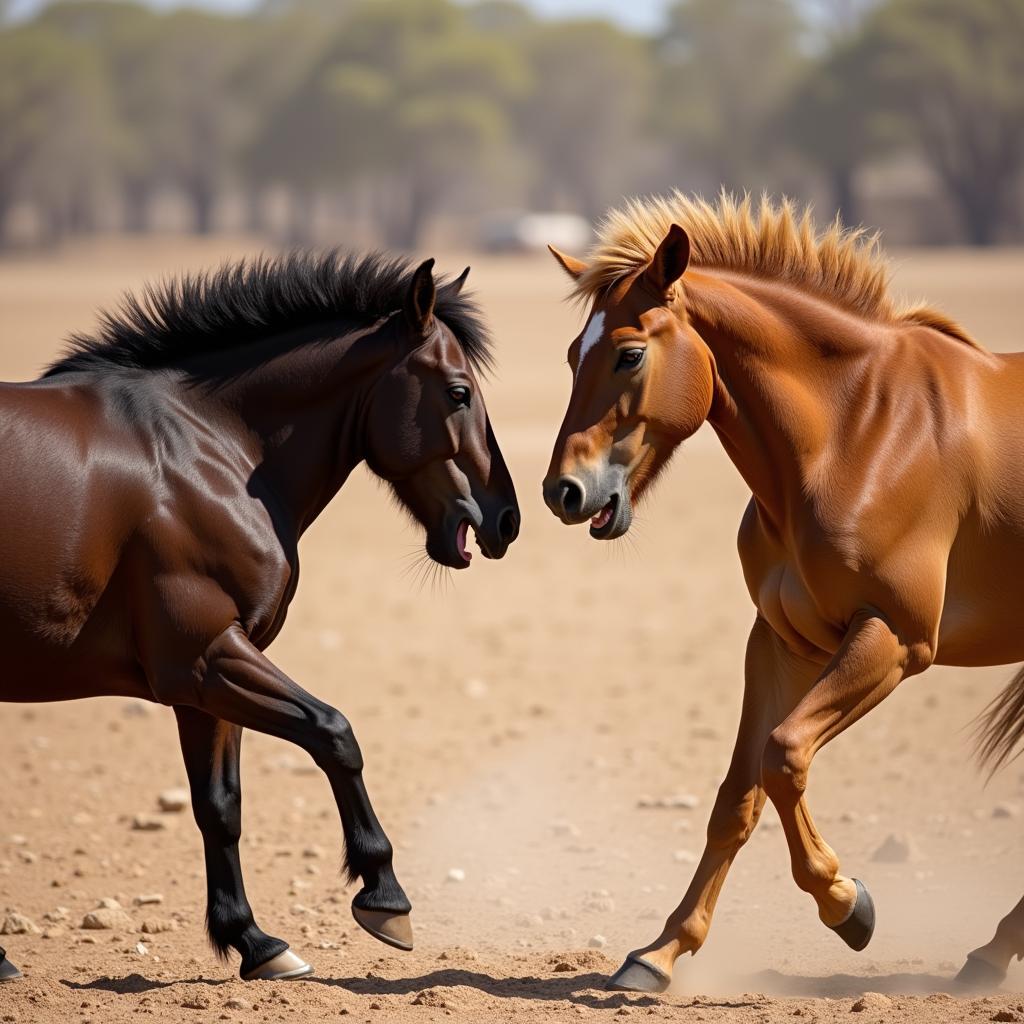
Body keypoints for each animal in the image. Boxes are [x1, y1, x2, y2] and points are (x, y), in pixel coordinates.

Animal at [0, 251, 520, 987]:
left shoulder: (200, 686)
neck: (203, 448)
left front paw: (254, 941)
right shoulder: (207, 656)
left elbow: (220, 808)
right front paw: (385, 896)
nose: (507, 517)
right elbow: (334, 733)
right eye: (457, 392)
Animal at [548, 192, 1024, 991]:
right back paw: (990, 954)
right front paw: (661, 952)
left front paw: (848, 904)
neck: (856, 434)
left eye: (629, 352)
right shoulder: (780, 640)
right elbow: (736, 797)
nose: (563, 492)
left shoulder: (895, 640)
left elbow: (784, 755)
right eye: (570, 357)